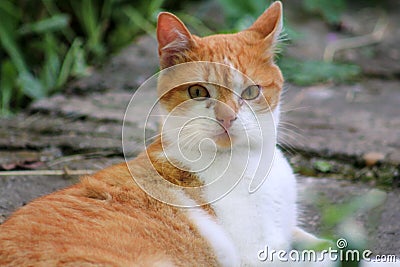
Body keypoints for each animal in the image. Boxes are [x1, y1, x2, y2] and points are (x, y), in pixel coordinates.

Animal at [0, 1, 322, 266]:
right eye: (197, 92)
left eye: (251, 92)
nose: (227, 117)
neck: (248, 159)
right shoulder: (257, 255)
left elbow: (319, 243)